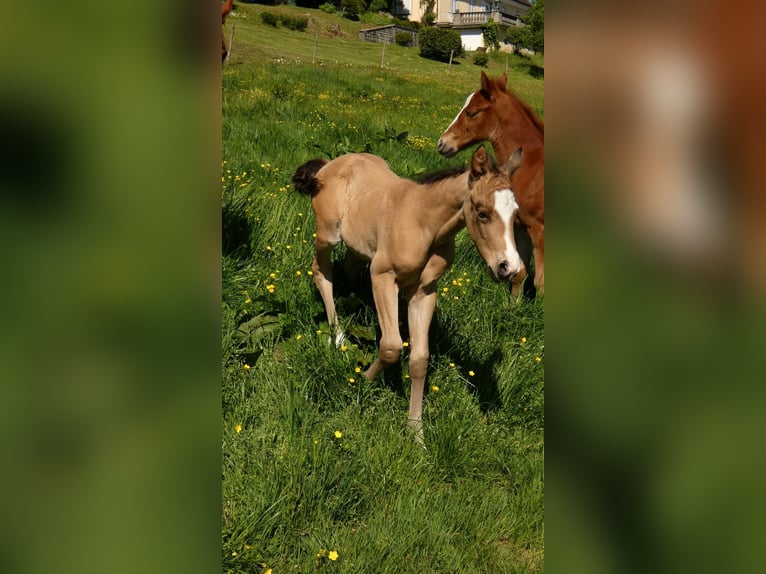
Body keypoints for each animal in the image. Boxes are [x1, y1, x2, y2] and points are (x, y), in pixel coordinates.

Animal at [292, 145, 524, 434]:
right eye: (482, 212)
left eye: (515, 214)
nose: (509, 268)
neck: (423, 222)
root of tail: (328, 165)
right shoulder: (382, 276)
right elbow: (391, 345)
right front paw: (362, 380)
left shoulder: (424, 290)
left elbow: (420, 359)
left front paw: (415, 431)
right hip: (327, 235)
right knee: (321, 273)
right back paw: (338, 336)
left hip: (358, 245)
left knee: (347, 269)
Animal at [438, 72, 545, 297]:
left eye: (471, 113)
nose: (442, 144)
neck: (531, 167)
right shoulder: (520, 224)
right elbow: (519, 273)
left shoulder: (540, 230)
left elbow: (541, 284)